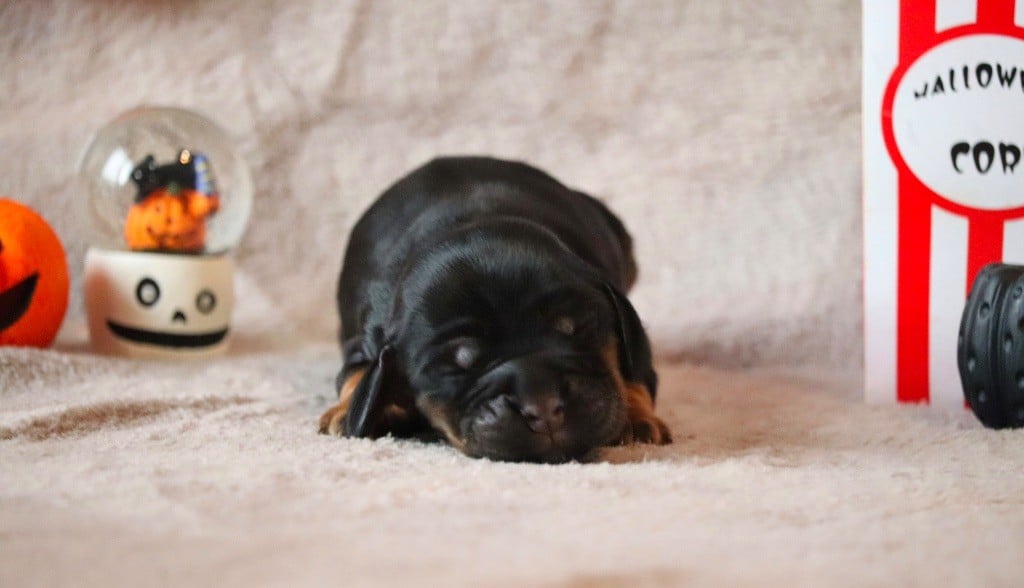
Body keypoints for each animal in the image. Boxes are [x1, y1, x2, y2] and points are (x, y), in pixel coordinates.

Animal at [321, 157, 671, 465]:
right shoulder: (363, 340)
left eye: (573, 328)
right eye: (459, 363)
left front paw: (636, 417)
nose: (542, 406)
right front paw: (348, 410)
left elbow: (635, 371)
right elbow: (355, 373)